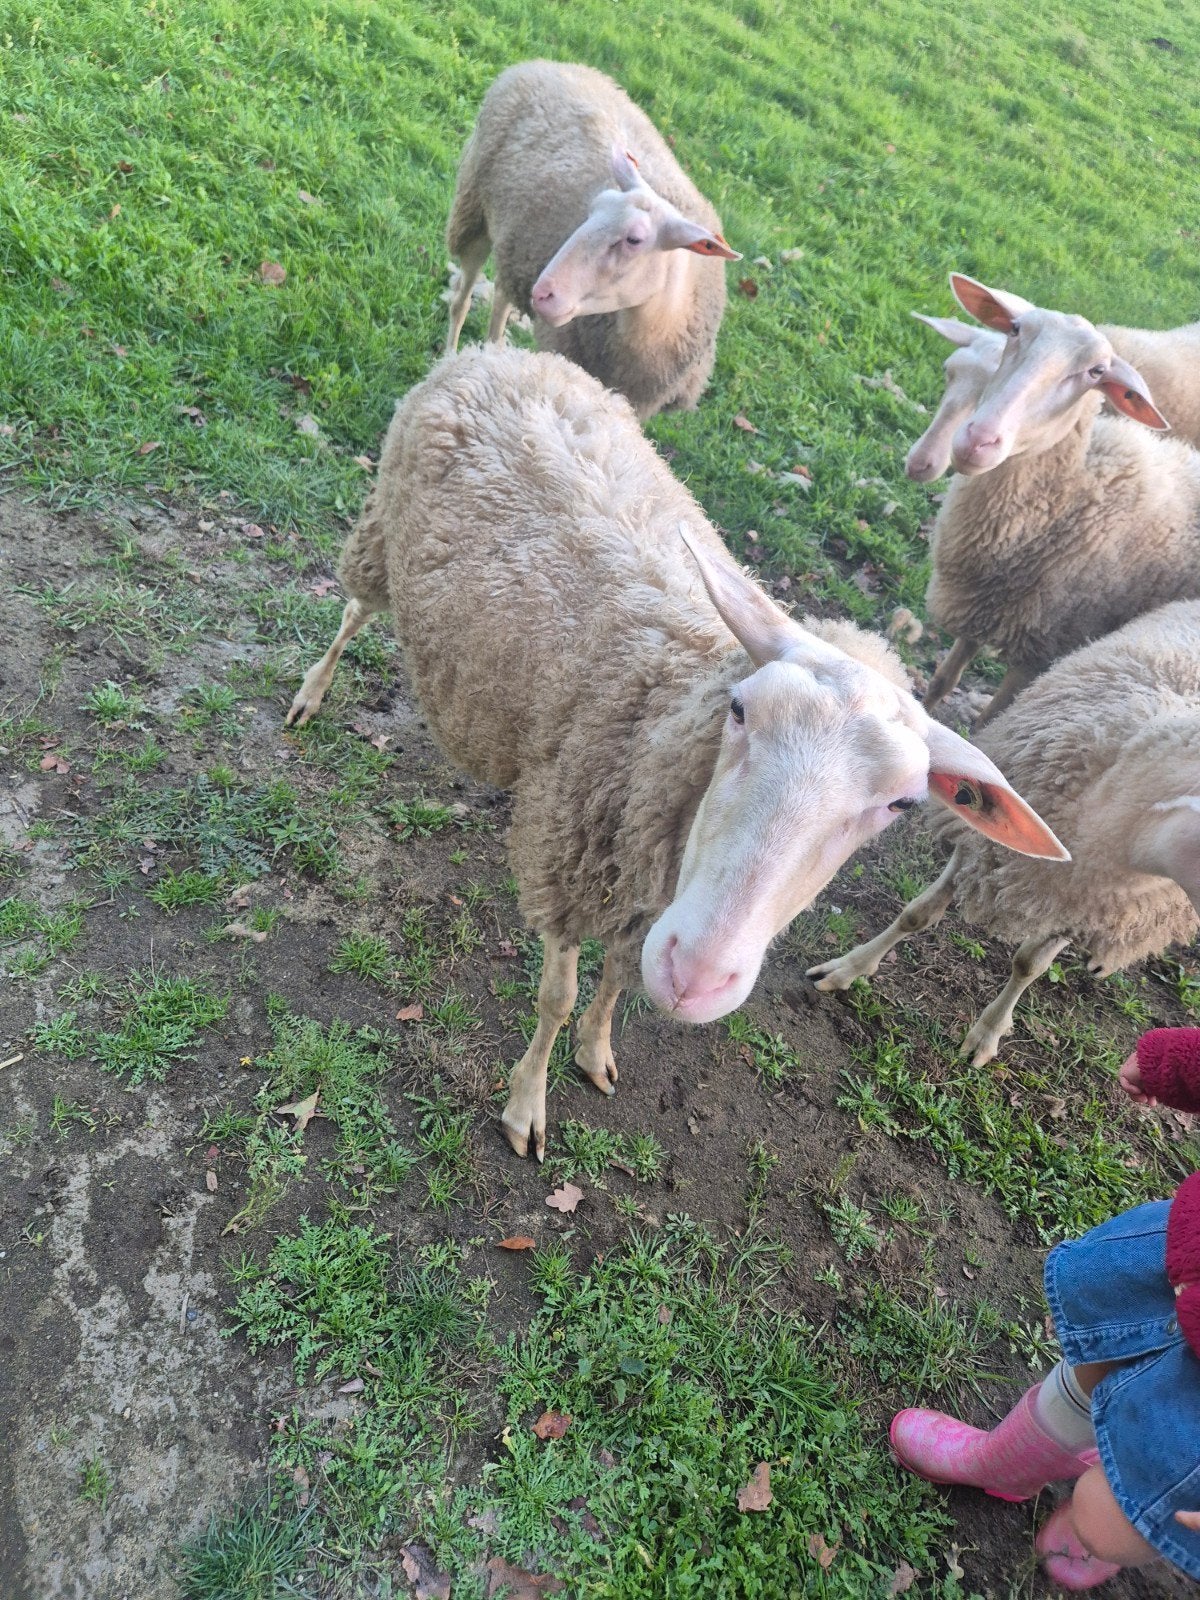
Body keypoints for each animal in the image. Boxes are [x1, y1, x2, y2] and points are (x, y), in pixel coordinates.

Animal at [285, 344, 1065, 1159]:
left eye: (902, 803)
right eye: (739, 710)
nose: (694, 977)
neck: (663, 704)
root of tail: (510, 352)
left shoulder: (644, 894)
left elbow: (616, 980)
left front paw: (596, 1052)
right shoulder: (569, 859)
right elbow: (557, 996)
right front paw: (527, 1103)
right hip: (382, 528)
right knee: (353, 609)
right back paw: (311, 693)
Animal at [444, 60, 740, 420]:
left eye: (634, 240)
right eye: (592, 208)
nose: (542, 294)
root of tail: (545, 64)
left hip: (515, 240)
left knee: (502, 294)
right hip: (474, 211)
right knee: (461, 300)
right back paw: (448, 358)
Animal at [809, 600, 1200, 1067]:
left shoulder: (1078, 904)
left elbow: (1030, 965)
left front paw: (988, 1032)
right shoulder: (983, 840)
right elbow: (918, 913)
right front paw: (849, 968)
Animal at [917, 274, 1200, 723]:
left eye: (1096, 372)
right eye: (1015, 330)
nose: (977, 440)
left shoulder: (1040, 652)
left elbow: (991, 723)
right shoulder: (984, 609)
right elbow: (943, 680)